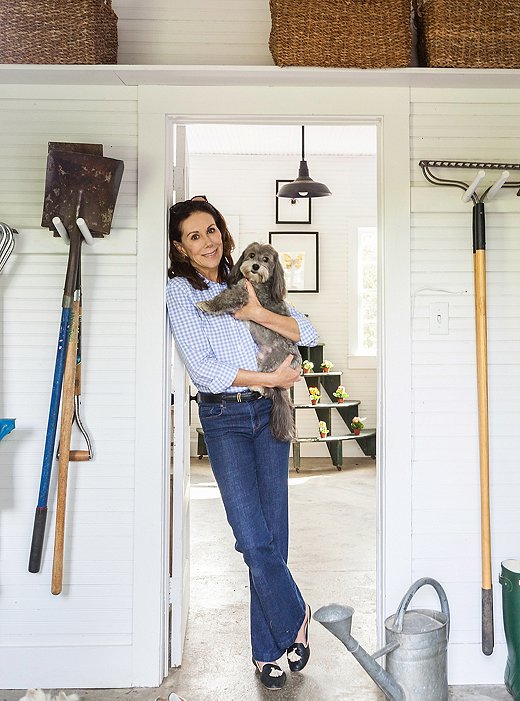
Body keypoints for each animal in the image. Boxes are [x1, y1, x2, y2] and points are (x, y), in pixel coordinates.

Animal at [196, 241, 302, 438]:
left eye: (266, 259)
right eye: (251, 255)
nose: (255, 266)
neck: (256, 282)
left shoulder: (242, 295)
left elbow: (224, 298)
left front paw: (207, 304)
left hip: (271, 365)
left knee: (269, 387)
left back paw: (257, 387)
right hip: (260, 360)